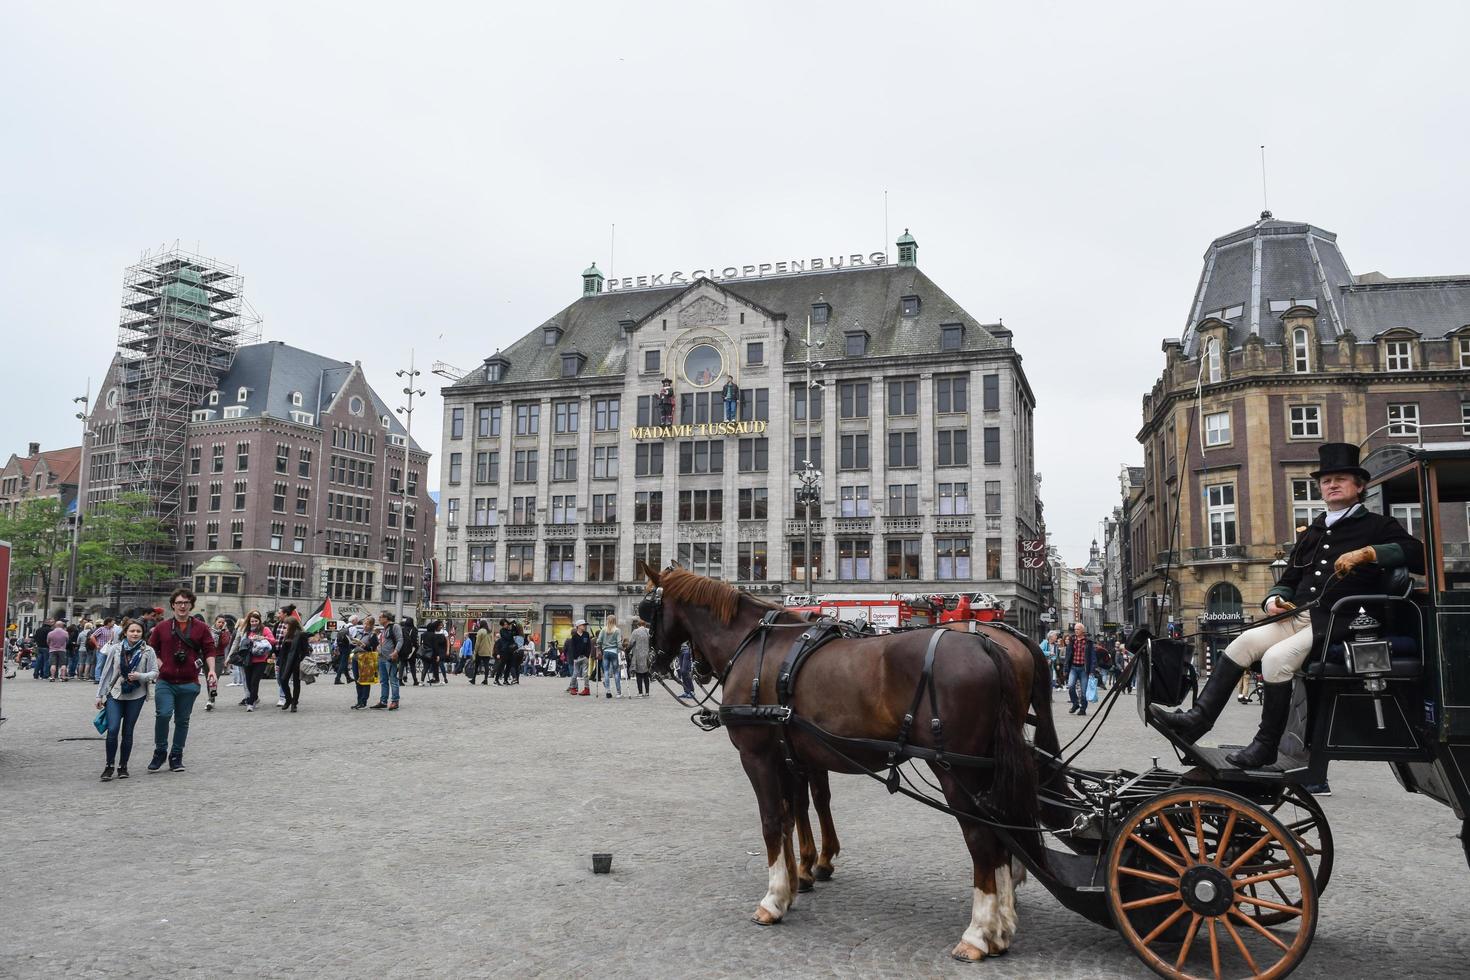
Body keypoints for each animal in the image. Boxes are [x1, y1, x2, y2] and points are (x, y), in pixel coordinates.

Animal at [640, 564, 1058, 963]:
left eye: (646, 609)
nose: (653, 660)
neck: (753, 646)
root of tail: (991, 647)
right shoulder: (793, 752)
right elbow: (797, 812)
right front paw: (797, 881)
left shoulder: (758, 755)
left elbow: (774, 820)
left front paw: (775, 898)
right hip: (986, 768)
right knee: (1003, 831)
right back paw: (1001, 929)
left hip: (957, 772)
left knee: (982, 839)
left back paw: (977, 934)